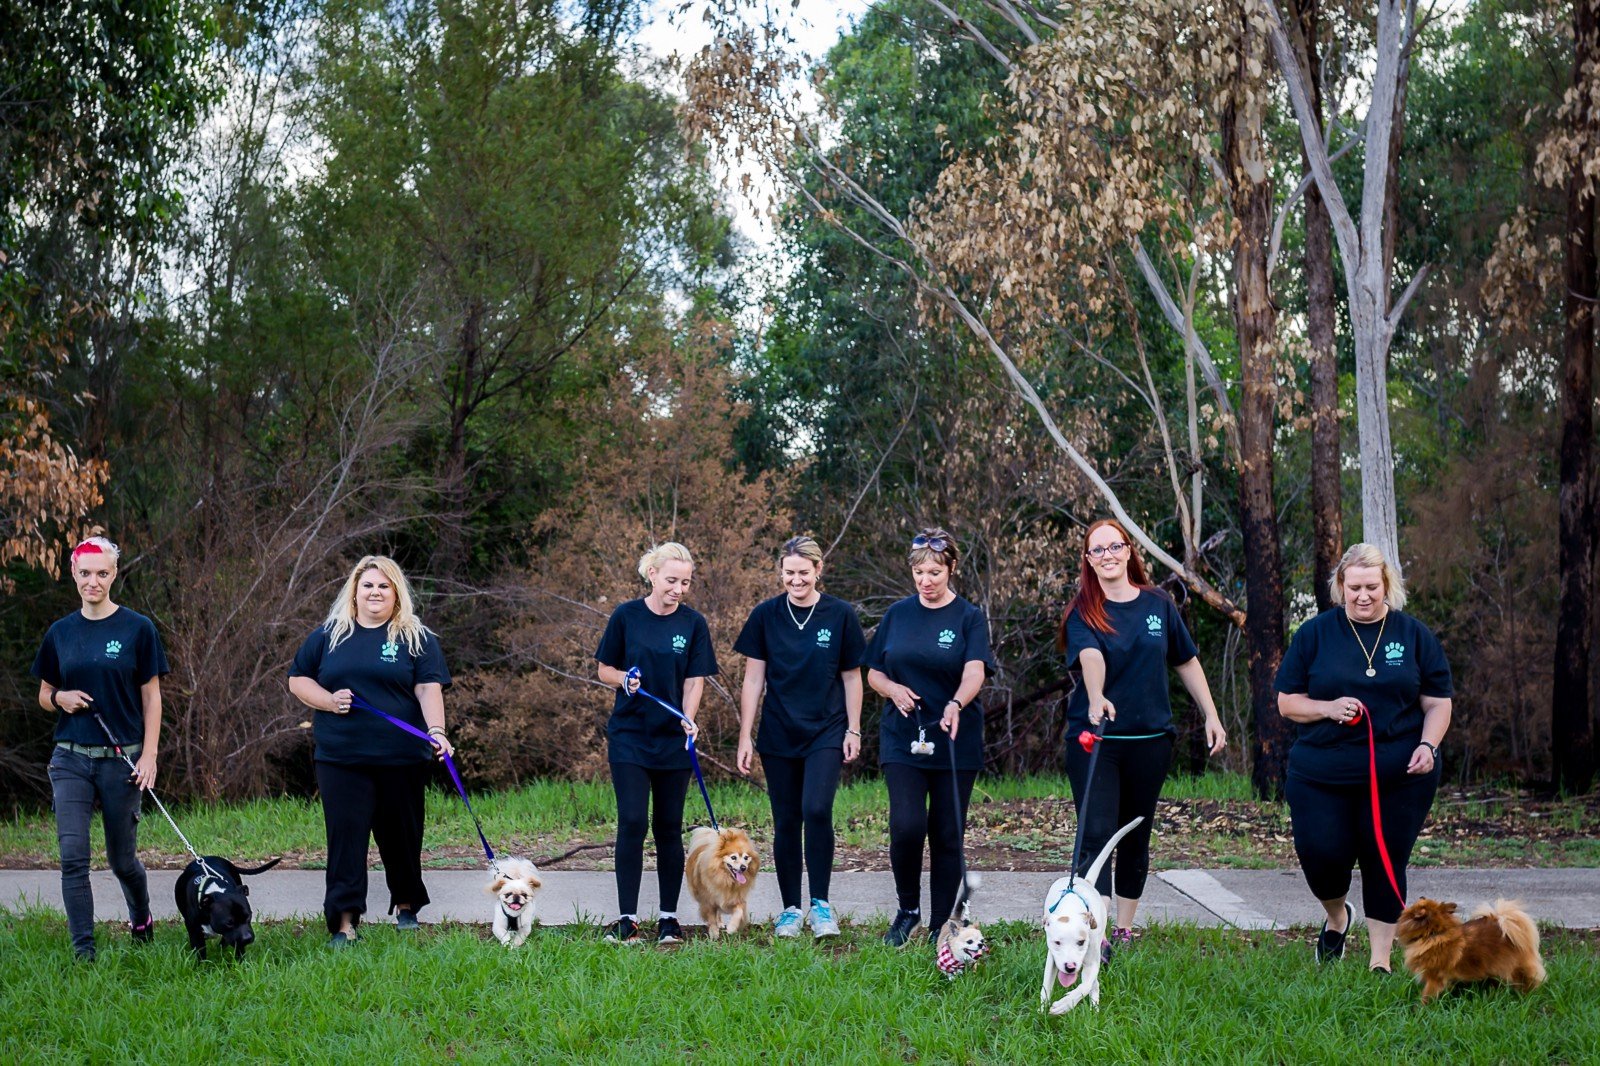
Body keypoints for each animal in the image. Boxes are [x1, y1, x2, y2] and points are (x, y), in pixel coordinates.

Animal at [1043, 816, 1145, 1011]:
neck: (1071, 906)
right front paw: (1041, 1011)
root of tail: (1086, 881)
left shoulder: (1091, 960)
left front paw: (1065, 1004)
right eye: (1057, 942)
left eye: (1081, 942)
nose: (1070, 967)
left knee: (1094, 984)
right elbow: (1046, 987)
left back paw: (1094, 1009)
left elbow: (1085, 985)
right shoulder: (1052, 959)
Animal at [1395, 889, 1542, 998]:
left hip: (1515, 968)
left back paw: (1525, 997)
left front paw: (1421, 1009)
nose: (1421, 896)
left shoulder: (1434, 978)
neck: (1434, 934)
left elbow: (1427, 996)